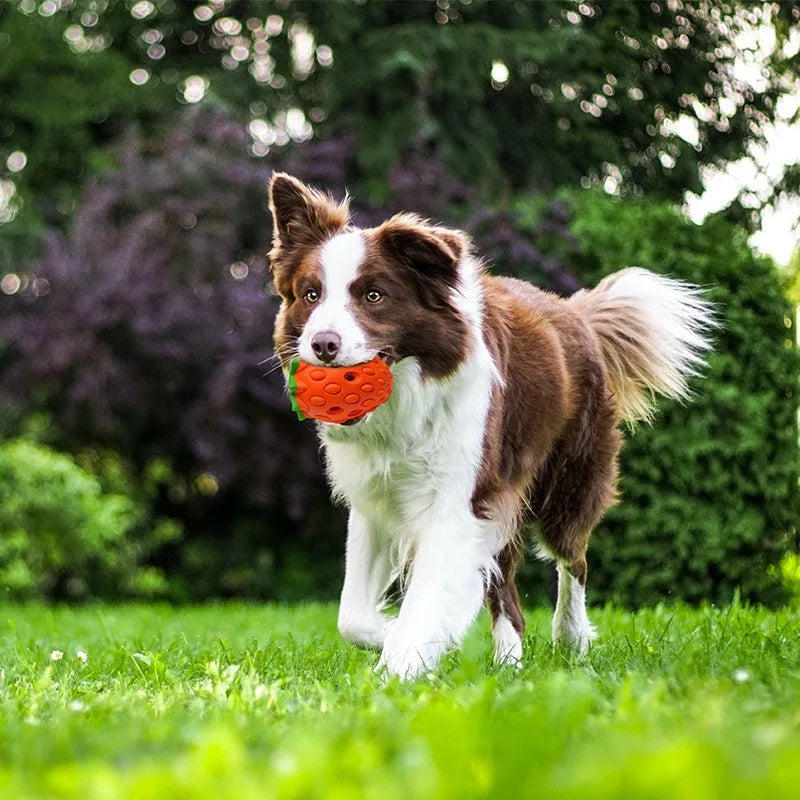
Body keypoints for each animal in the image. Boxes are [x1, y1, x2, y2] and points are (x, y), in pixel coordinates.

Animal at [268, 172, 712, 680]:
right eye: (311, 295)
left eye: (373, 296)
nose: (323, 344)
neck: (405, 402)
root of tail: (575, 312)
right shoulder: (377, 498)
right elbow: (352, 616)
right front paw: (400, 638)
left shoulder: (460, 498)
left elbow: (426, 597)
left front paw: (402, 664)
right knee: (507, 593)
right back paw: (509, 663)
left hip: (566, 482)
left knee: (573, 559)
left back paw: (571, 637)